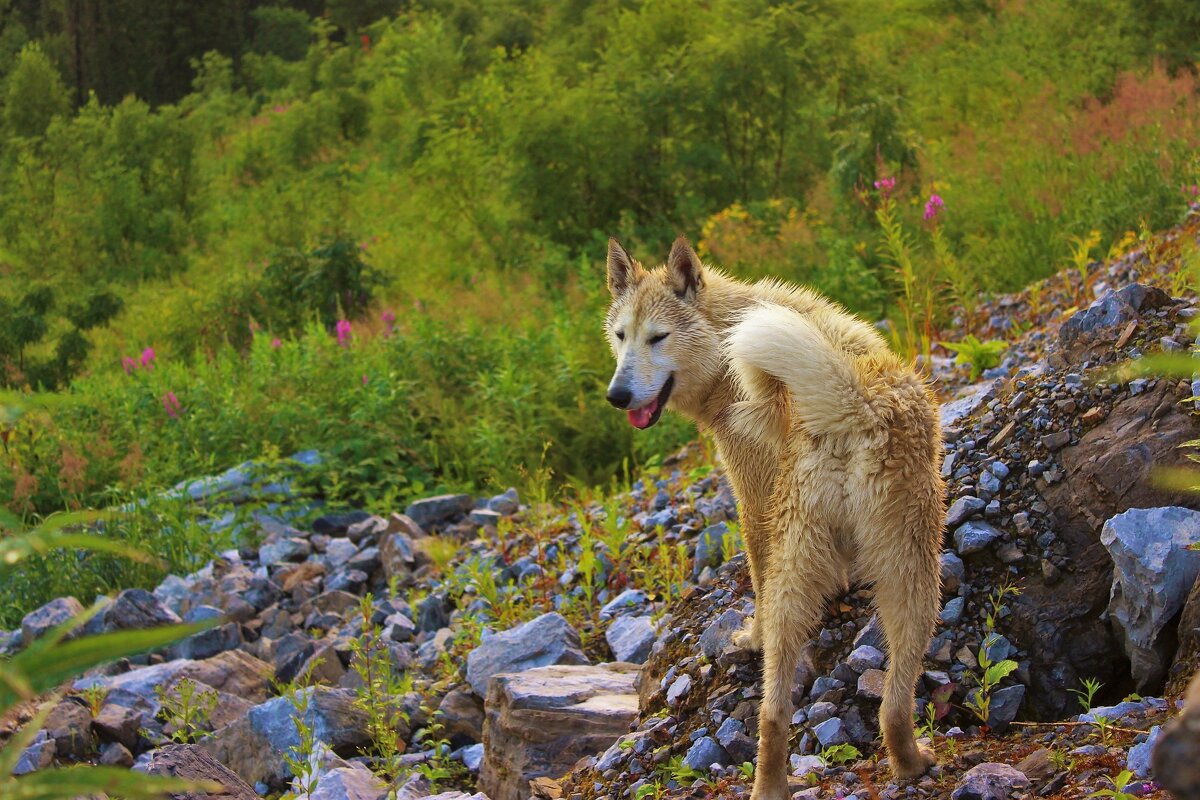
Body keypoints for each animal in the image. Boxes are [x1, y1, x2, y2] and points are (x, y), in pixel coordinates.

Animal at [604, 237, 940, 800]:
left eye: (658, 337)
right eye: (620, 336)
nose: (617, 396)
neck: (723, 340)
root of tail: (853, 404)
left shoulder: (754, 502)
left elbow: (755, 581)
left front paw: (749, 637)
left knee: (772, 704)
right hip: (910, 571)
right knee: (881, 703)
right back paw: (907, 762)